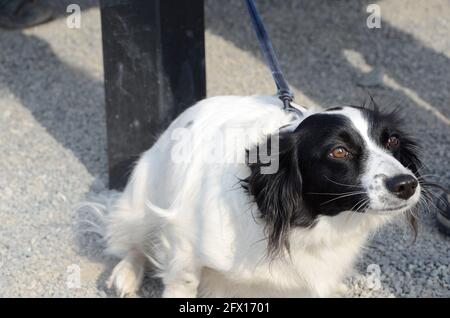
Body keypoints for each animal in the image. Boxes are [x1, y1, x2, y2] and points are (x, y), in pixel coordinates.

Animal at [90, 95, 422, 298]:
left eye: (391, 141)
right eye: (339, 151)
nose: (407, 184)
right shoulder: (183, 245)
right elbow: (182, 282)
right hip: (141, 197)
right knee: (133, 242)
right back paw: (126, 273)